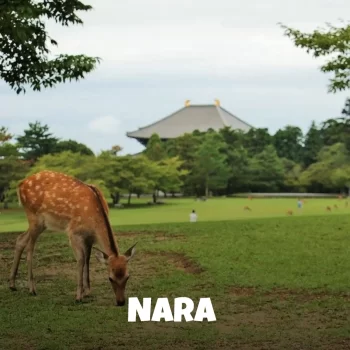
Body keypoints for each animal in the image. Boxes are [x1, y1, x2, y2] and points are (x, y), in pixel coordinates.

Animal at [8, 170, 137, 306]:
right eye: (110, 278)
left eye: (127, 276)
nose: (121, 302)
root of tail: (20, 184)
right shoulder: (74, 233)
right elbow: (81, 259)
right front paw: (79, 296)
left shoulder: (89, 238)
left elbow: (87, 259)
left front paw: (87, 291)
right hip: (33, 216)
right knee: (30, 248)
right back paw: (32, 289)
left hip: (42, 224)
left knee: (20, 239)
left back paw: (12, 285)